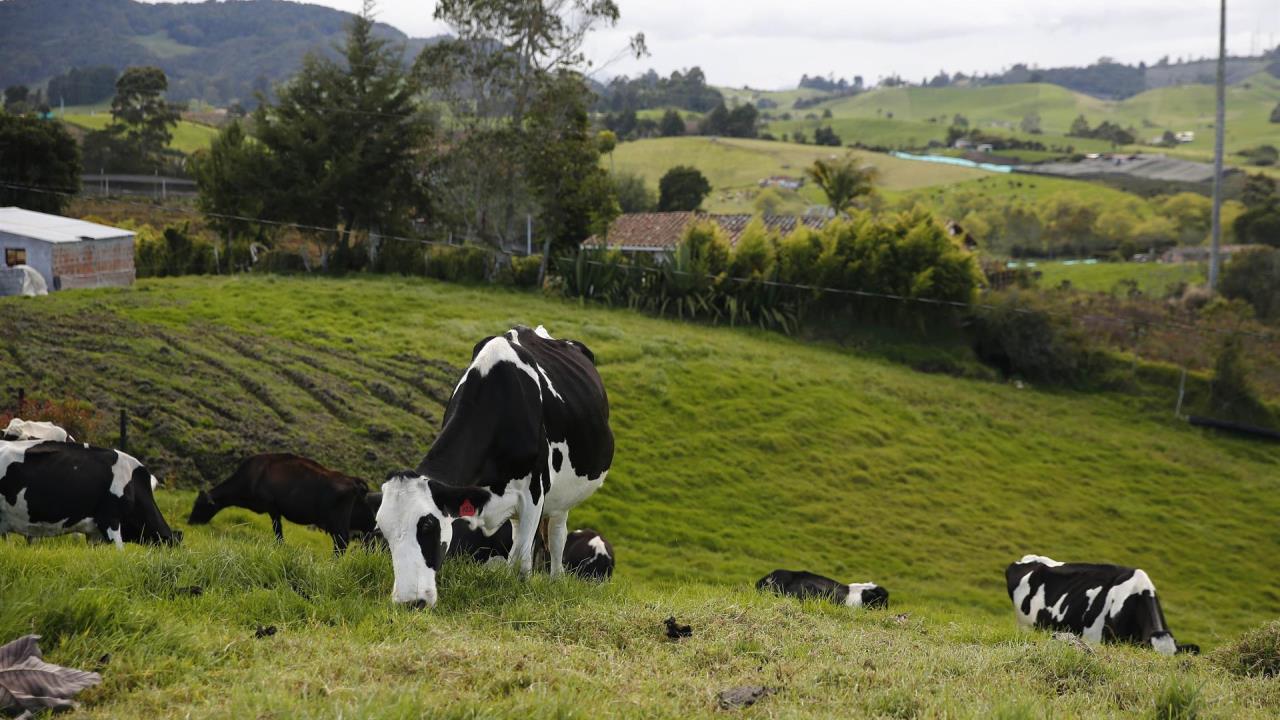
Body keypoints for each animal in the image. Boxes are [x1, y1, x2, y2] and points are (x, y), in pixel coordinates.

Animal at [189, 453, 370, 554]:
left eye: (199, 505)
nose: (190, 522)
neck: (251, 477)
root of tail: (352, 480)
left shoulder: (272, 507)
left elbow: (277, 530)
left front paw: (279, 546)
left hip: (338, 522)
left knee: (342, 542)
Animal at [377, 325, 613, 607]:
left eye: (428, 525)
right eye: (383, 532)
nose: (410, 602)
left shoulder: (534, 494)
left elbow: (522, 561)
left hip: (563, 496)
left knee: (556, 536)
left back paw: (556, 580)